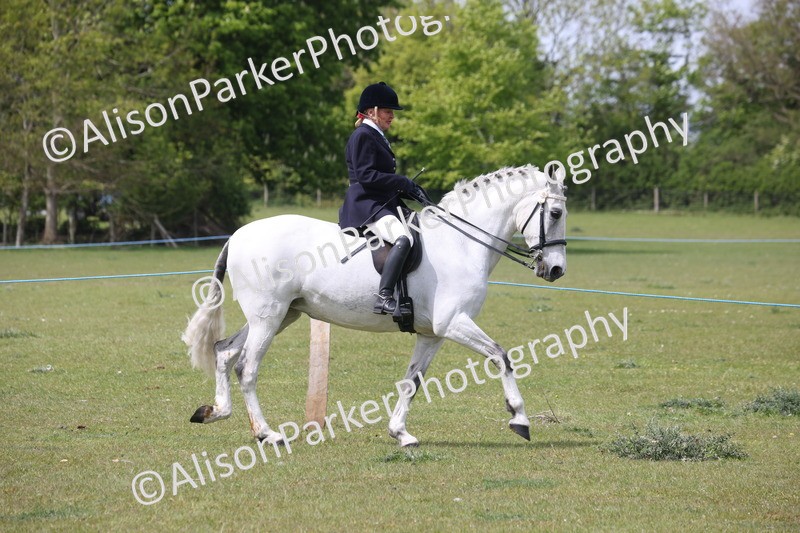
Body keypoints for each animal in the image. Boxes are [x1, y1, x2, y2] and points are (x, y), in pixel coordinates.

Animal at [182, 164, 568, 447]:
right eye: (556, 212)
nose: (556, 270)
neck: (460, 244)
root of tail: (237, 235)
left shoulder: (432, 334)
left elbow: (412, 381)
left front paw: (400, 433)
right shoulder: (453, 323)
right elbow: (501, 356)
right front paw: (519, 418)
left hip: (281, 314)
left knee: (223, 351)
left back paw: (215, 412)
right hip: (268, 316)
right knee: (246, 367)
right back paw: (267, 433)